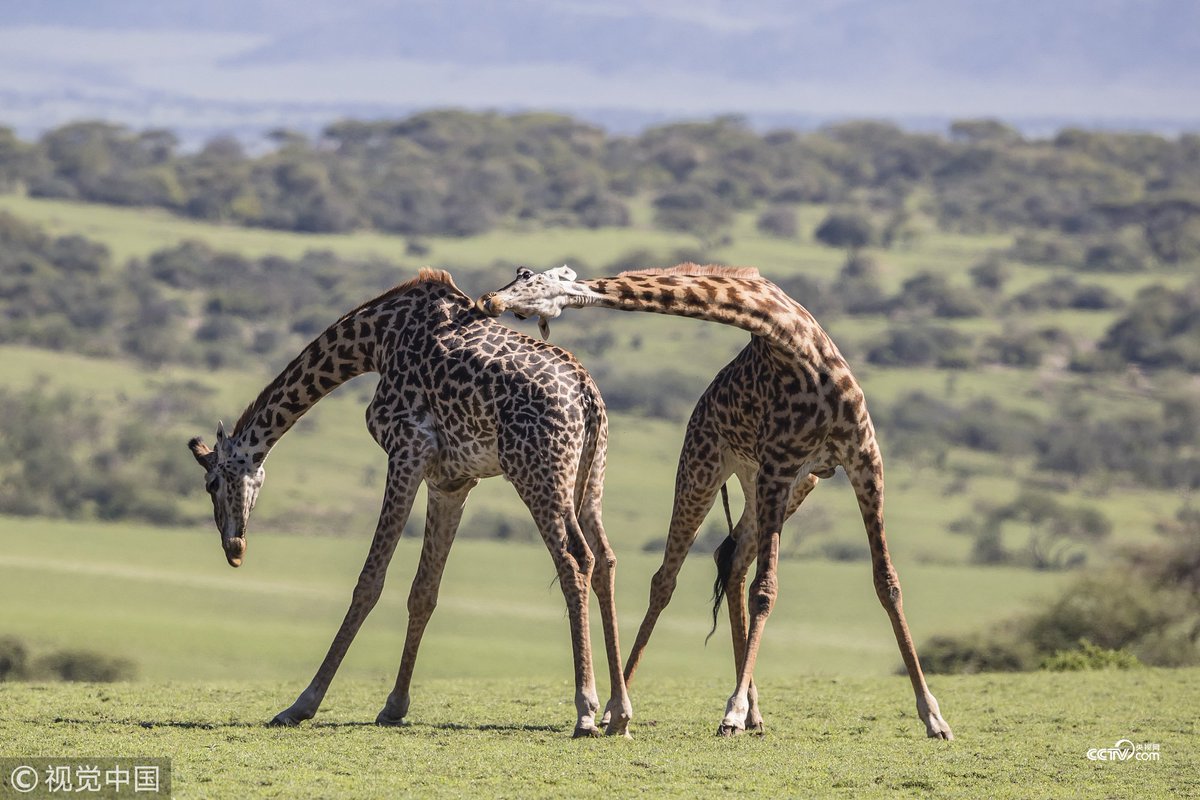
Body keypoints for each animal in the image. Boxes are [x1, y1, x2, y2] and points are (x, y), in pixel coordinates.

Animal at [186, 268, 632, 737]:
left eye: (211, 483)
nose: (234, 548)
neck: (374, 341)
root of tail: (588, 396)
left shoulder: (407, 449)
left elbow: (369, 582)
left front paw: (301, 704)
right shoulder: (451, 481)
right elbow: (424, 591)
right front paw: (394, 706)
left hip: (537, 473)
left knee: (574, 561)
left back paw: (586, 710)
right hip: (589, 479)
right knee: (604, 559)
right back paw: (618, 711)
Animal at [476, 264, 953, 739]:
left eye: (529, 280)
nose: (489, 301)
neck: (790, 338)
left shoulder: (863, 460)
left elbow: (886, 582)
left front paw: (934, 716)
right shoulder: (780, 467)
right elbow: (766, 590)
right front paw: (731, 711)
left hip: (784, 484)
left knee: (734, 558)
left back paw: (750, 711)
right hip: (706, 470)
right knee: (666, 580)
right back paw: (618, 710)